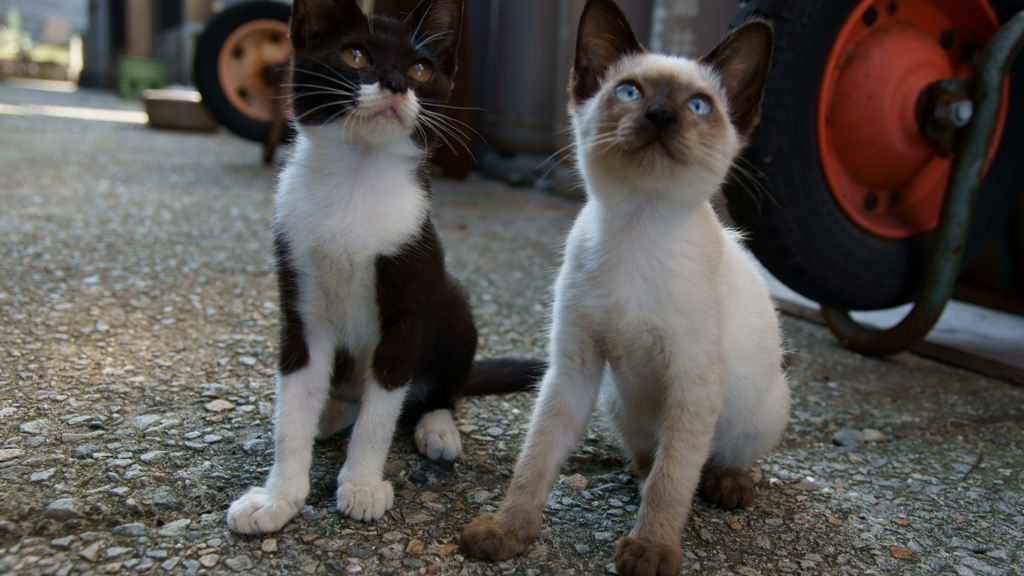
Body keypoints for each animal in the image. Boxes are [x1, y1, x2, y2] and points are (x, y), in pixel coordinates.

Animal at [226, 0, 544, 532]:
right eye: (356, 55)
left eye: (420, 69)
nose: (395, 82)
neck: (357, 182)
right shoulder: (300, 306)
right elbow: (293, 404)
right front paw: (278, 496)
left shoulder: (408, 310)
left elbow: (380, 416)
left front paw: (361, 486)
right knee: (347, 399)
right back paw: (330, 414)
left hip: (452, 302)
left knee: (441, 390)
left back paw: (436, 427)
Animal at [460, 1, 786, 573]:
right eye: (631, 92)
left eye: (698, 105)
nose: (659, 115)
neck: (639, 226)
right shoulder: (573, 368)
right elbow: (536, 459)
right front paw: (507, 530)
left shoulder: (693, 387)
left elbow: (673, 483)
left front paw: (653, 549)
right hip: (615, 398)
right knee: (650, 456)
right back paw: (646, 478)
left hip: (762, 408)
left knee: (713, 458)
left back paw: (726, 483)